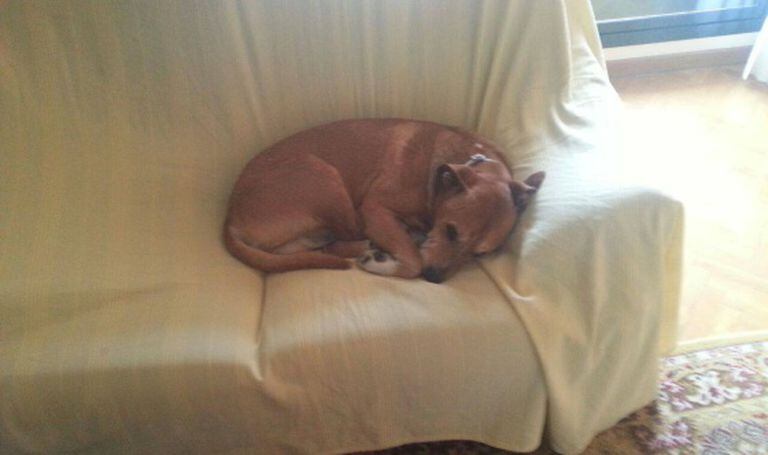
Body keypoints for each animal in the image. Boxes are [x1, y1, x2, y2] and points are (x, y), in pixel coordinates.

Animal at [224, 119, 545, 283]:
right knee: (345, 239)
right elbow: (413, 262)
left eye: (480, 254)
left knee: (331, 245)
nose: (434, 278)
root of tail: (230, 219)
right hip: (322, 174)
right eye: (451, 231)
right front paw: (384, 263)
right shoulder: (375, 209)